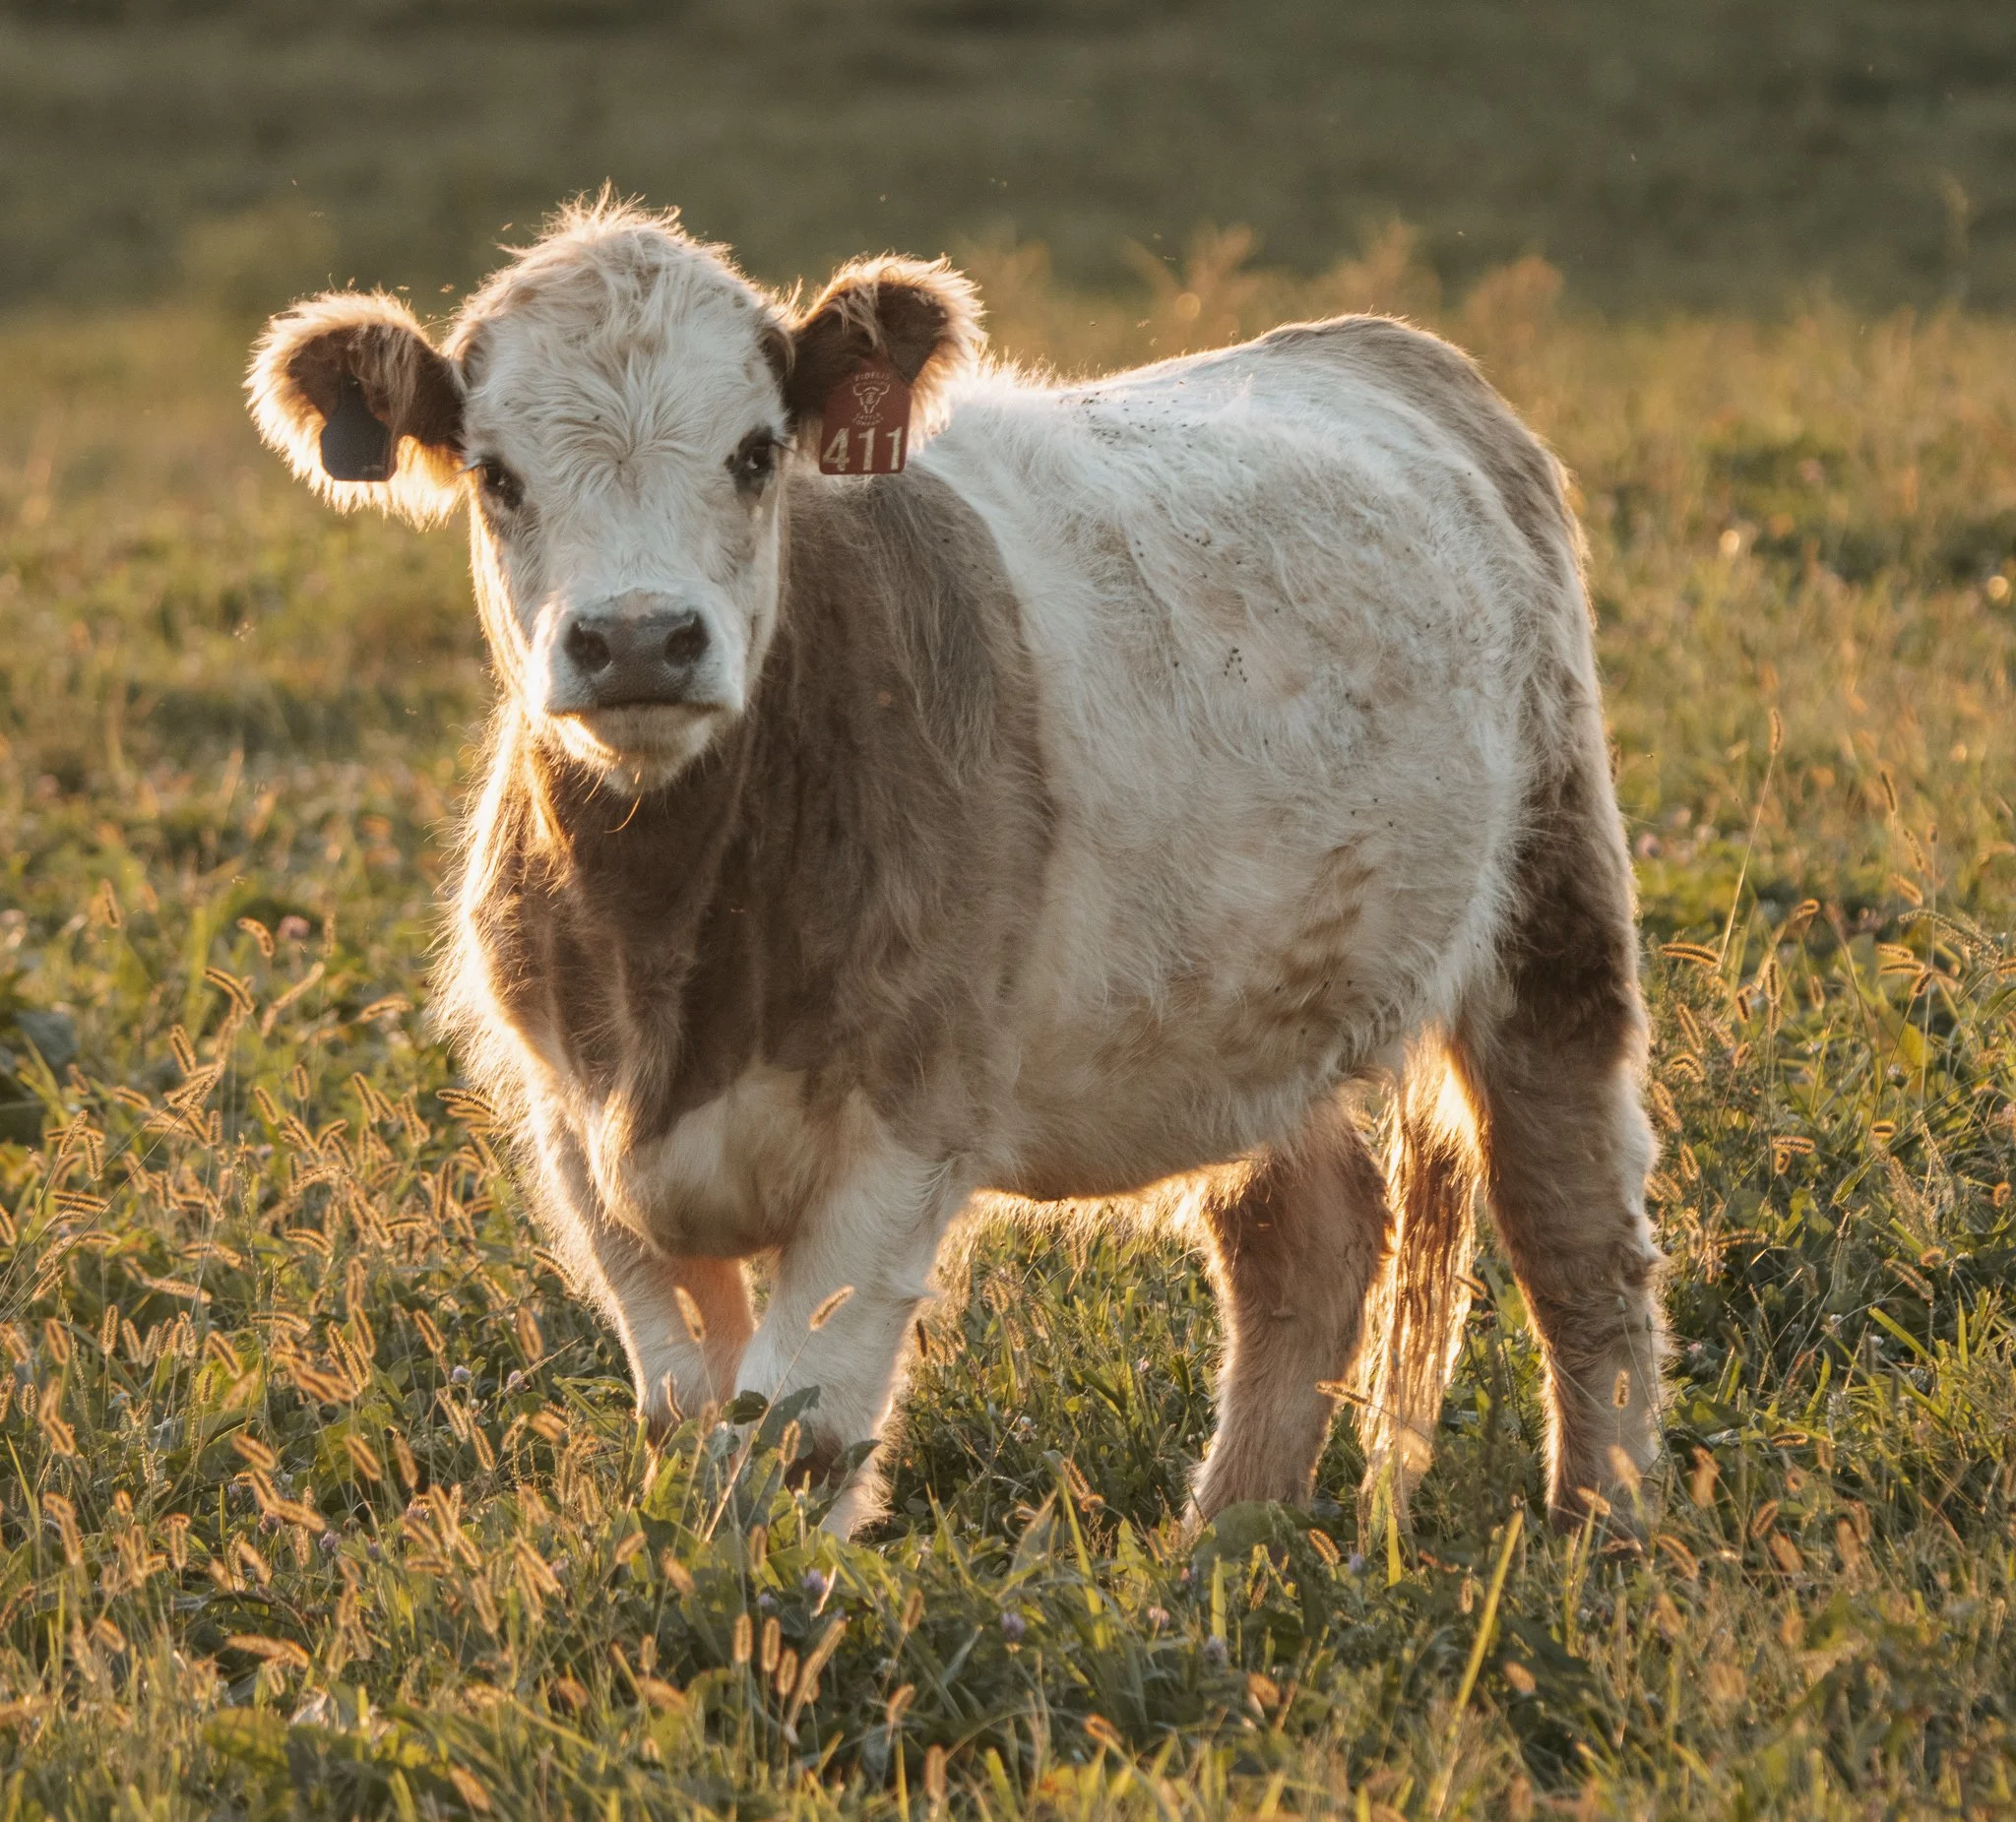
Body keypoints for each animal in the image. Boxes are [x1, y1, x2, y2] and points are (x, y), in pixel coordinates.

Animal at [248, 197, 1664, 1536]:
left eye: (756, 453)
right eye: (496, 474)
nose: (640, 638)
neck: (673, 960)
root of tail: (1372, 346)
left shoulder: (901, 1129)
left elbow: (792, 1435)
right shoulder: (575, 1129)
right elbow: (689, 1417)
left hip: (1556, 905)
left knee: (1577, 1230)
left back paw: (1599, 1529)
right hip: (1239, 1005)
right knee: (1305, 1242)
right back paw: (1220, 1545)